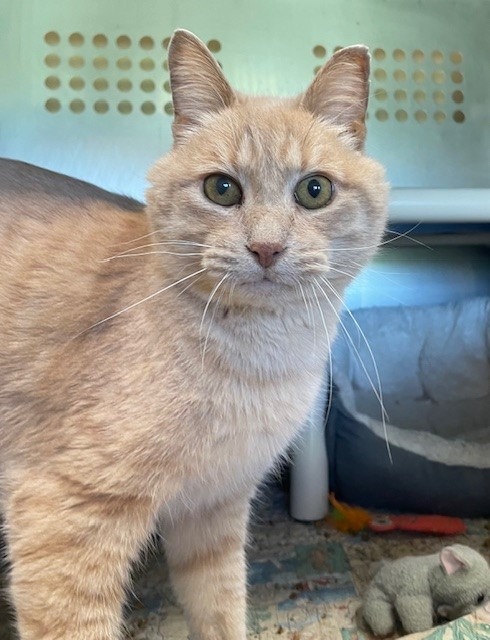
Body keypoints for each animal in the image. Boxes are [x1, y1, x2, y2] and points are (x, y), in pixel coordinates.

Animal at [0, 28, 388, 640]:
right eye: (222, 189)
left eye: (315, 191)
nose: (266, 248)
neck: (259, 360)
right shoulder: (63, 516)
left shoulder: (213, 512)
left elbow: (220, 609)